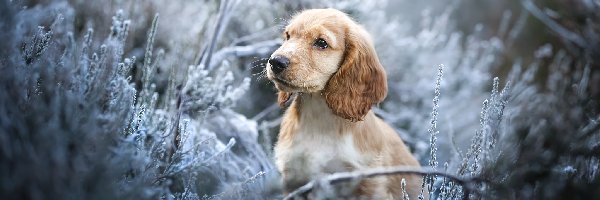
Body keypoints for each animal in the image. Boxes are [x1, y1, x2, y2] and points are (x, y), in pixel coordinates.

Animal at [268, 8, 422, 199]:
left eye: (321, 43)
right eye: (288, 36)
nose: (275, 61)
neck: (318, 115)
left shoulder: (368, 182)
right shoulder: (294, 179)